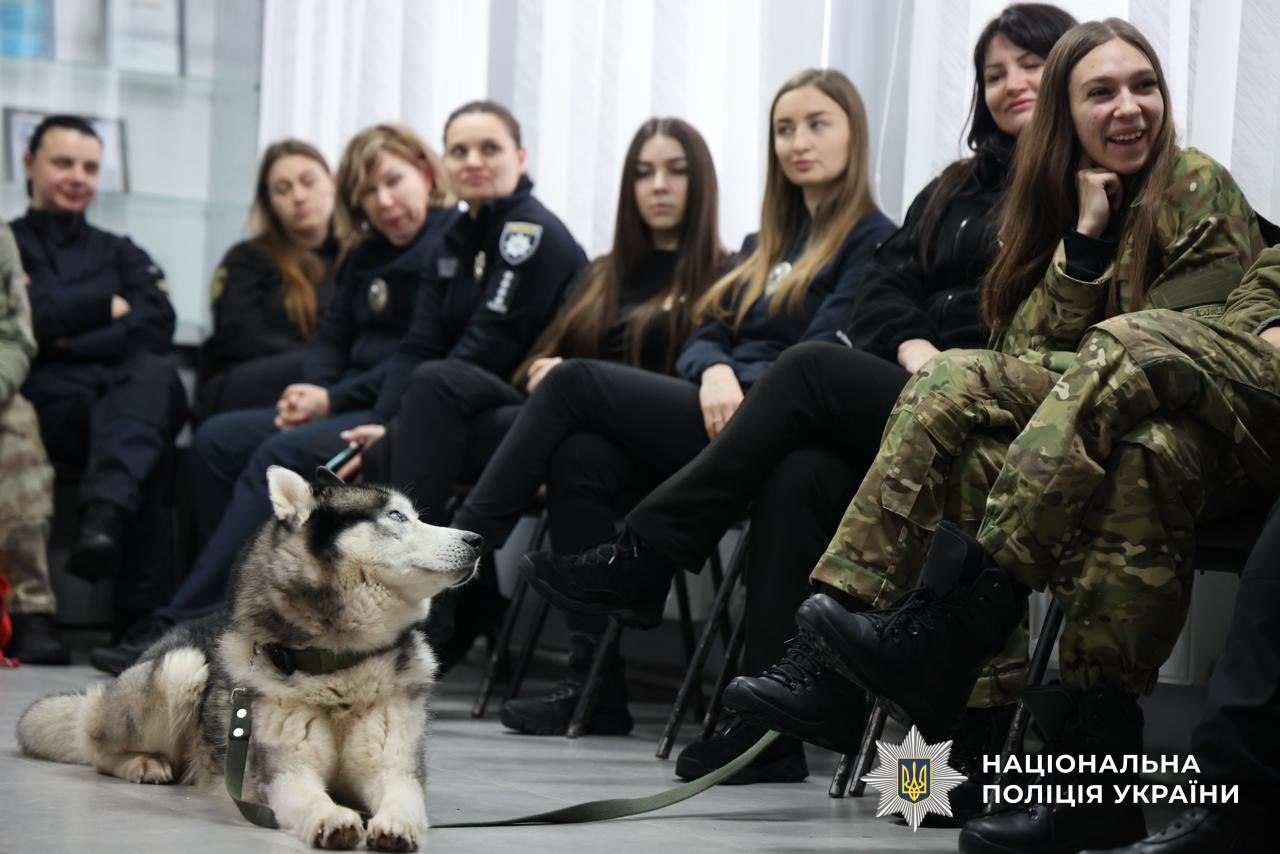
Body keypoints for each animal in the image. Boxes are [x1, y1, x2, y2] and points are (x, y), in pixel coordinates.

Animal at [17, 466, 482, 851]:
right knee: (95, 745)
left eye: (414, 515)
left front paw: (395, 825)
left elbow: (402, 795)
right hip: (181, 668)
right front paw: (331, 817)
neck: (338, 666)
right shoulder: (284, 771)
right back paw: (142, 763)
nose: (477, 540)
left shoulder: (394, 766)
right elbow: (308, 795)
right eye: (397, 517)